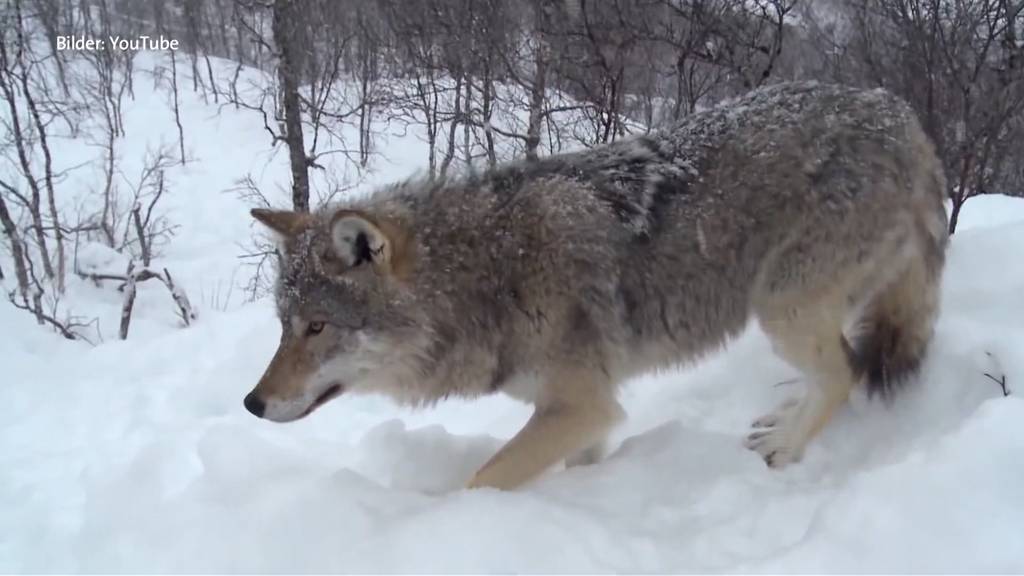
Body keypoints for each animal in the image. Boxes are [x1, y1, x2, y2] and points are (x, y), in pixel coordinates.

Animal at [243, 81, 946, 487]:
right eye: (282, 327)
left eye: (317, 327)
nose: (252, 403)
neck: (489, 275)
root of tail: (902, 113)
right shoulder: (584, 414)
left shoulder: (582, 405)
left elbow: (481, 481)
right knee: (838, 369)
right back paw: (782, 417)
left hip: (781, 308)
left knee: (847, 371)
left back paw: (785, 447)